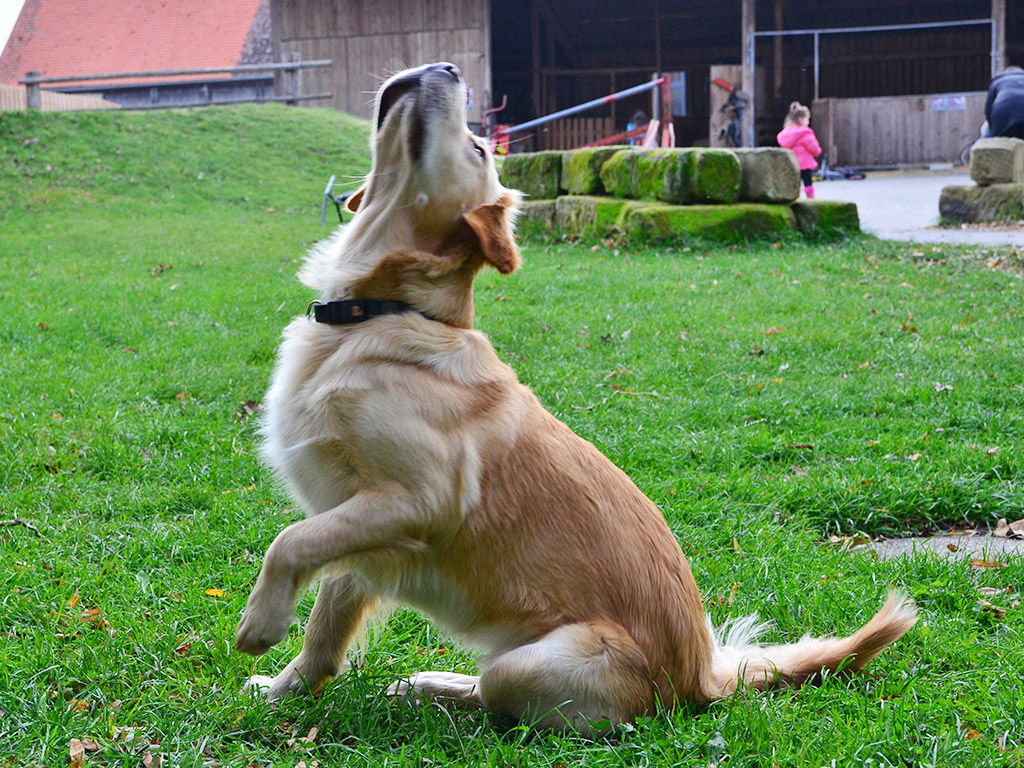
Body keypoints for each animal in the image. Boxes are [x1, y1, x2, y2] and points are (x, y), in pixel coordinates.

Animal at [234, 61, 921, 733]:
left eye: (478, 147)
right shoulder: (358, 523)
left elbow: (289, 540)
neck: (377, 313)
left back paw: (444, 690)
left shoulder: (420, 497)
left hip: (532, 662)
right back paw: (431, 682)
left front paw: (261, 622)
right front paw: (284, 690)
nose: (449, 66)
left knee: (498, 696)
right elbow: (324, 627)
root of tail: (701, 679)